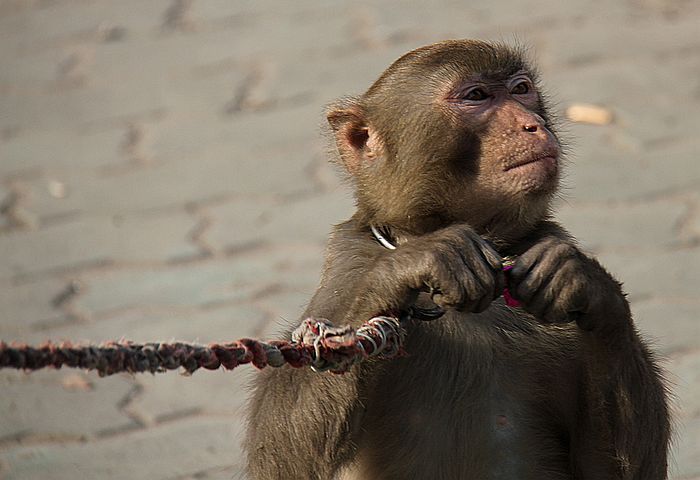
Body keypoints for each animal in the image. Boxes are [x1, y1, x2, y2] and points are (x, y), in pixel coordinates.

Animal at [243, 39, 668, 478]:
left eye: (521, 89)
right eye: (477, 96)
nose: (533, 125)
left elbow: (612, 471)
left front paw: (588, 285)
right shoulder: (348, 267)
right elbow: (282, 459)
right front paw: (416, 263)